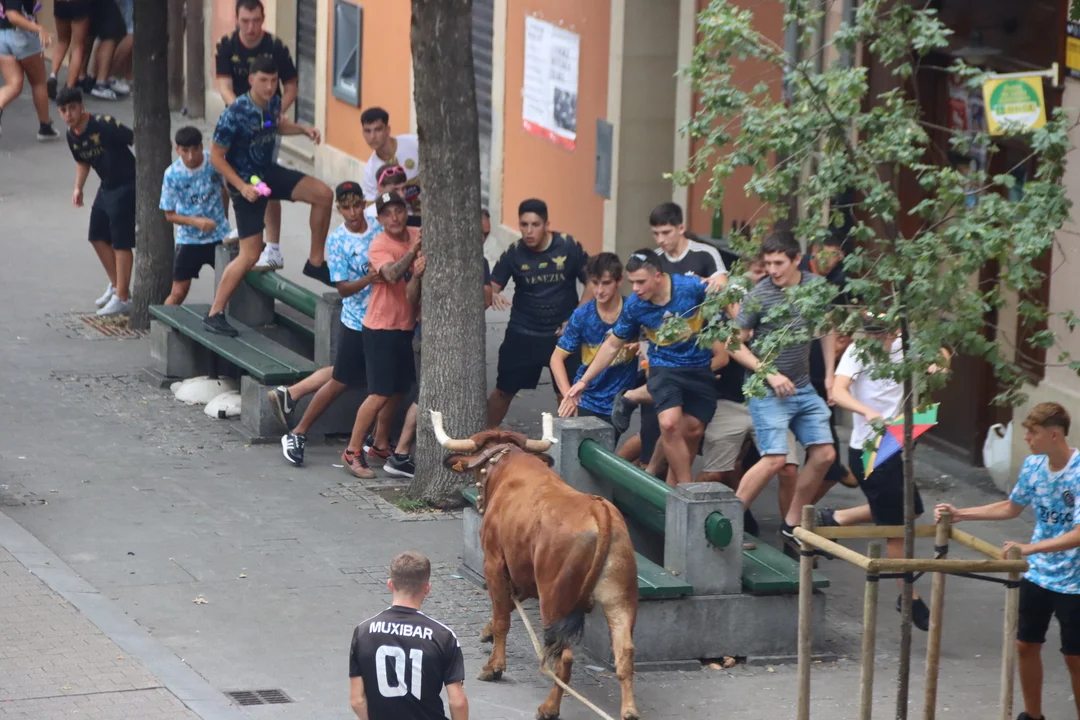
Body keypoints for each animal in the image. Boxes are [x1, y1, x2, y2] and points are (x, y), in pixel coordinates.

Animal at [432, 410, 639, 720]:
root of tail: (598, 509)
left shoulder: (494, 561)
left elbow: (503, 615)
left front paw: (494, 666)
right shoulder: (521, 572)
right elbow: (506, 606)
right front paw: (488, 633)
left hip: (554, 598)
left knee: (564, 658)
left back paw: (549, 707)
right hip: (621, 598)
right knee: (624, 652)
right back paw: (629, 711)